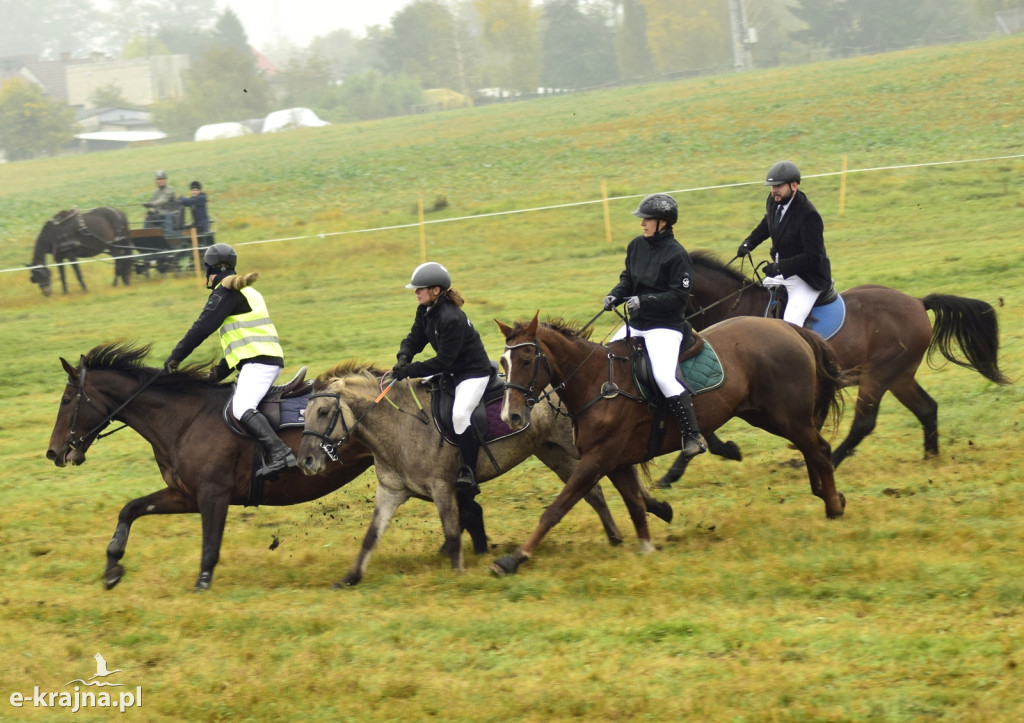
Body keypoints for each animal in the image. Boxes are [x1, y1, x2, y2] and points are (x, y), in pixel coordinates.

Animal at [44, 339, 651, 589]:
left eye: (69, 399)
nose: (55, 452)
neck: (186, 417)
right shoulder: (185, 495)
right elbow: (129, 510)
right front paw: (113, 567)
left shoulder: (212, 497)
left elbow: (209, 546)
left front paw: (202, 583)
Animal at [495, 313, 847, 573]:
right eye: (503, 363)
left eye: (527, 360)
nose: (510, 416)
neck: (598, 381)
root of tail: (787, 327)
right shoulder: (615, 461)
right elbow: (635, 506)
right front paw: (648, 545)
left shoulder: (599, 458)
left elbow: (557, 508)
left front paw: (515, 557)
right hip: (767, 416)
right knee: (812, 449)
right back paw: (828, 496)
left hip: (787, 417)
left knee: (819, 450)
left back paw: (832, 506)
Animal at [655, 250, 1007, 487]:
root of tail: (918, 302)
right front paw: (718, 453)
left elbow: (697, 425)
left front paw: (675, 472)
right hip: (900, 378)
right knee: (927, 409)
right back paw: (930, 459)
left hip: (877, 377)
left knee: (864, 423)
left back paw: (829, 462)